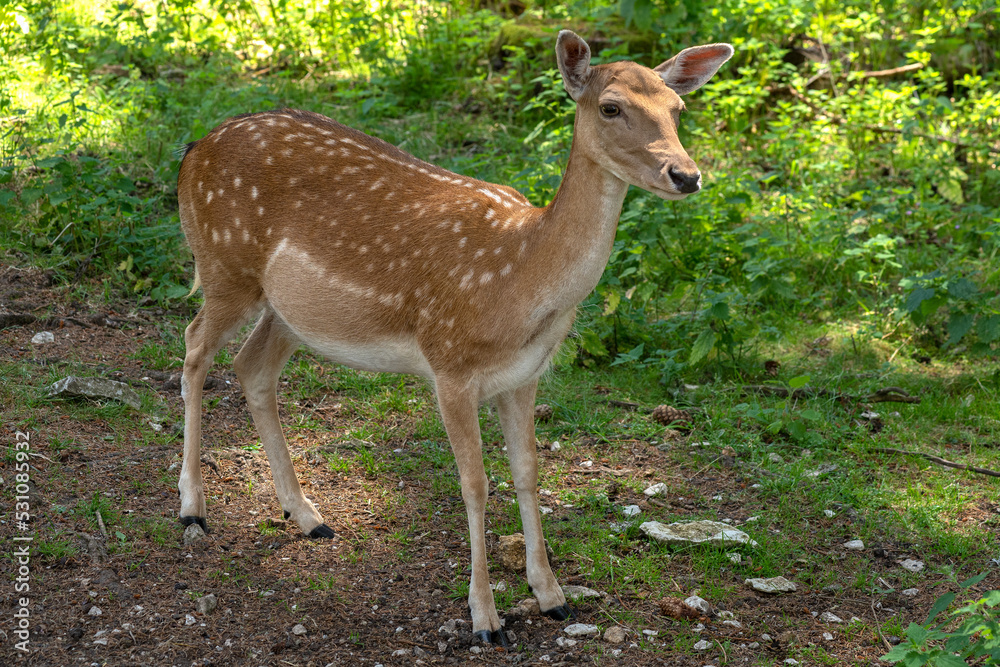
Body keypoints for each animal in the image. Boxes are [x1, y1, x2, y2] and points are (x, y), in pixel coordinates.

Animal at [176, 32, 732, 648]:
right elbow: (475, 485)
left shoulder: (525, 376)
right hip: (224, 264)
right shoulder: (450, 366)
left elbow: (528, 473)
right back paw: (193, 508)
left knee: (252, 367)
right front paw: (486, 619)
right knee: (194, 348)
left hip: (290, 311)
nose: (686, 175)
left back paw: (307, 516)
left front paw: (552, 596)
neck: (520, 282)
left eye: (678, 108)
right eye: (610, 107)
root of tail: (193, 150)